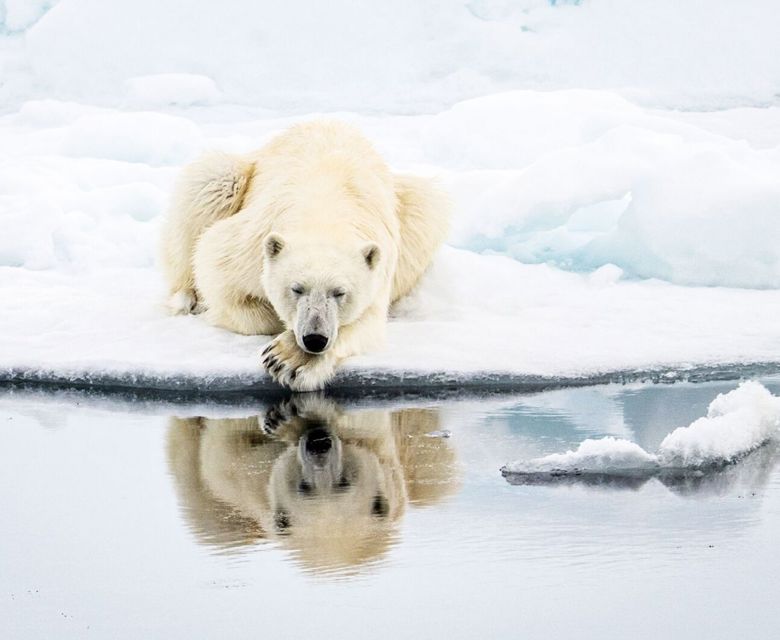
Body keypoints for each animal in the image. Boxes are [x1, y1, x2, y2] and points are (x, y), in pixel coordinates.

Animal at [159, 120, 450, 391]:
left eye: (340, 293)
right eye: (296, 289)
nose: (315, 338)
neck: (323, 214)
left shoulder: (380, 265)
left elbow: (367, 322)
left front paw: (287, 359)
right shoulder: (248, 244)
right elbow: (214, 264)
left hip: (412, 214)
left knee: (426, 207)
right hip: (239, 172)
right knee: (210, 181)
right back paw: (186, 298)